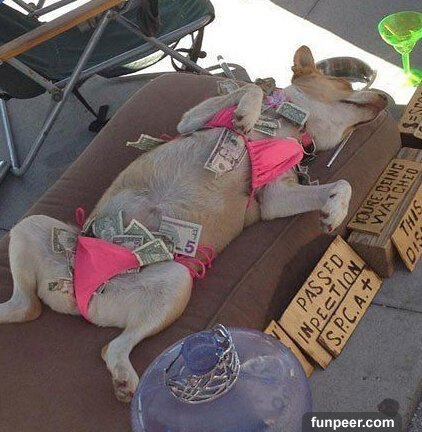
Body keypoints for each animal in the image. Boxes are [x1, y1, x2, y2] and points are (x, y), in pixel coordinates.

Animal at [0, 46, 387, 402]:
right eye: (343, 83)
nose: (386, 99)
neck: (289, 123)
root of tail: (78, 297)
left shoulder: (276, 196)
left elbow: (342, 184)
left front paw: (334, 211)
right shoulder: (192, 120)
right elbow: (250, 89)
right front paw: (247, 112)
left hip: (174, 281)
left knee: (98, 341)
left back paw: (124, 380)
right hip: (32, 225)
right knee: (32, 305)